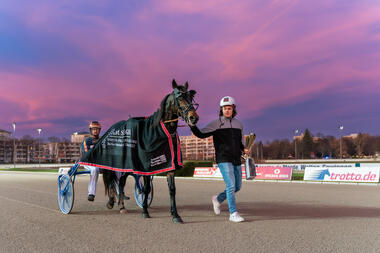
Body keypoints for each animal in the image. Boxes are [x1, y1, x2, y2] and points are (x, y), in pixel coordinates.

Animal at [102, 79, 200, 223]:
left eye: (190, 97)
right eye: (180, 97)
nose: (194, 117)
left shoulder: (169, 164)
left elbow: (172, 189)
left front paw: (175, 214)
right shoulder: (146, 167)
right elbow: (146, 189)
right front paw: (145, 211)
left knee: (121, 182)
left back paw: (121, 206)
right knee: (116, 181)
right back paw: (113, 202)